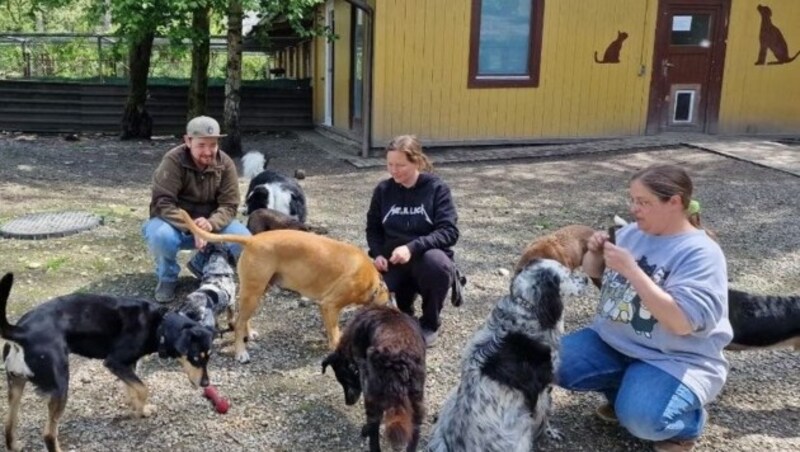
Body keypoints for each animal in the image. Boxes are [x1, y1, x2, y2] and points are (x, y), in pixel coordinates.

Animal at [0, 272, 212, 452]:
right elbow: (143, 389)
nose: (206, 384)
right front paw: (140, 410)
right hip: (60, 387)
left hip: (16, 385)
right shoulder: (115, 362)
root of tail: (22, 332)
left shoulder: (128, 365)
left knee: (9, 423)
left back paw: (14, 445)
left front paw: (139, 409)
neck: (160, 326)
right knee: (49, 434)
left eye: (208, 357)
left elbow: (133, 388)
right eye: (195, 358)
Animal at [179, 209, 390, 364]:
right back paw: (241, 353)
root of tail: (252, 239)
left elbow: (332, 331)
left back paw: (250, 333)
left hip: (257, 291)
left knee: (242, 316)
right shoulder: (329, 305)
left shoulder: (327, 310)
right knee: (238, 323)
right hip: (254, 292)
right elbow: (335, 334)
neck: (373, 283)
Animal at [324, 306, 428, 450]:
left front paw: (365, 430)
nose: (348, 403)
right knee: (415, 433)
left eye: (344, 381)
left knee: (374, 430)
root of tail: (397, 363)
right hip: (417, 399)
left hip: (372, 397)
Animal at [428, 260, 592, 450]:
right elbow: (544, 415)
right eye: (568, 274)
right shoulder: (542, 388)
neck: (526, 307)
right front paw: (550, 433)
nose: (587, 279)